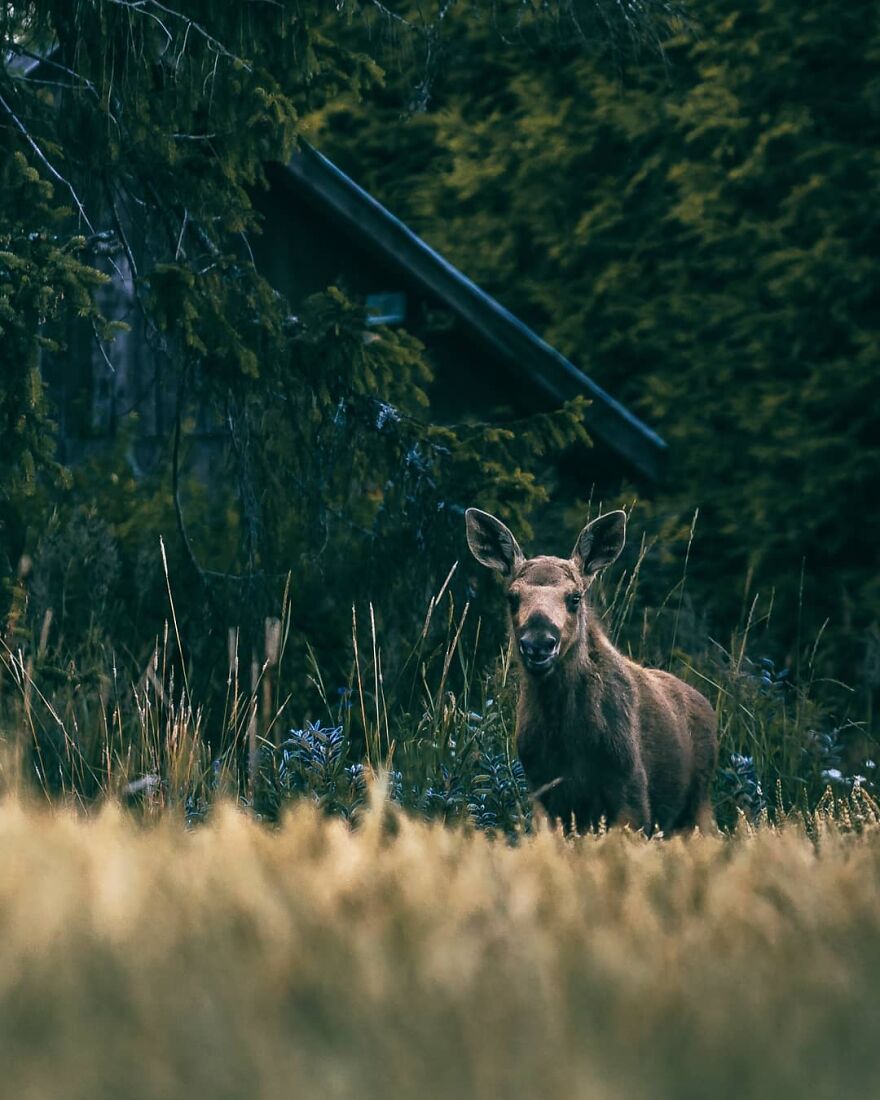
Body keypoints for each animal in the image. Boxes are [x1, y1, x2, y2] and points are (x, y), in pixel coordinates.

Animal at [464, 506, 717, 831]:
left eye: (575, 597)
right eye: (512, 597)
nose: (538, 642)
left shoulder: (632, 789)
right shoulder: (542, 795)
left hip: (698, 804)